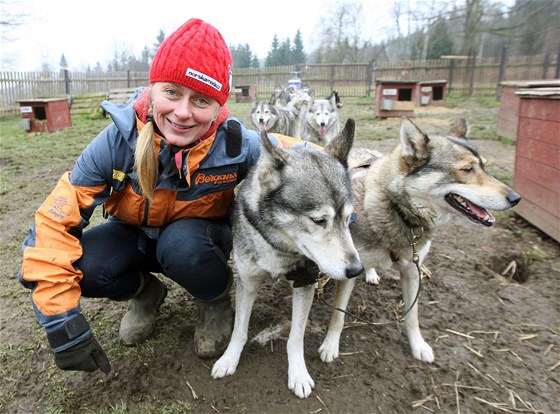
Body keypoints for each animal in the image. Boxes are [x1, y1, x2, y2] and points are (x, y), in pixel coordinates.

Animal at [318, 116, 524, 366]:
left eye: (485, 166)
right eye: (467, 169)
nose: (516, 198)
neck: (398, 212)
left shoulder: (412, 271)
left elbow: (412, 316)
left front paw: (418, 346)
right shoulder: (350, 270)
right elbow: (338, 314)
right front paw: (330, 345)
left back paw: (372, 274)